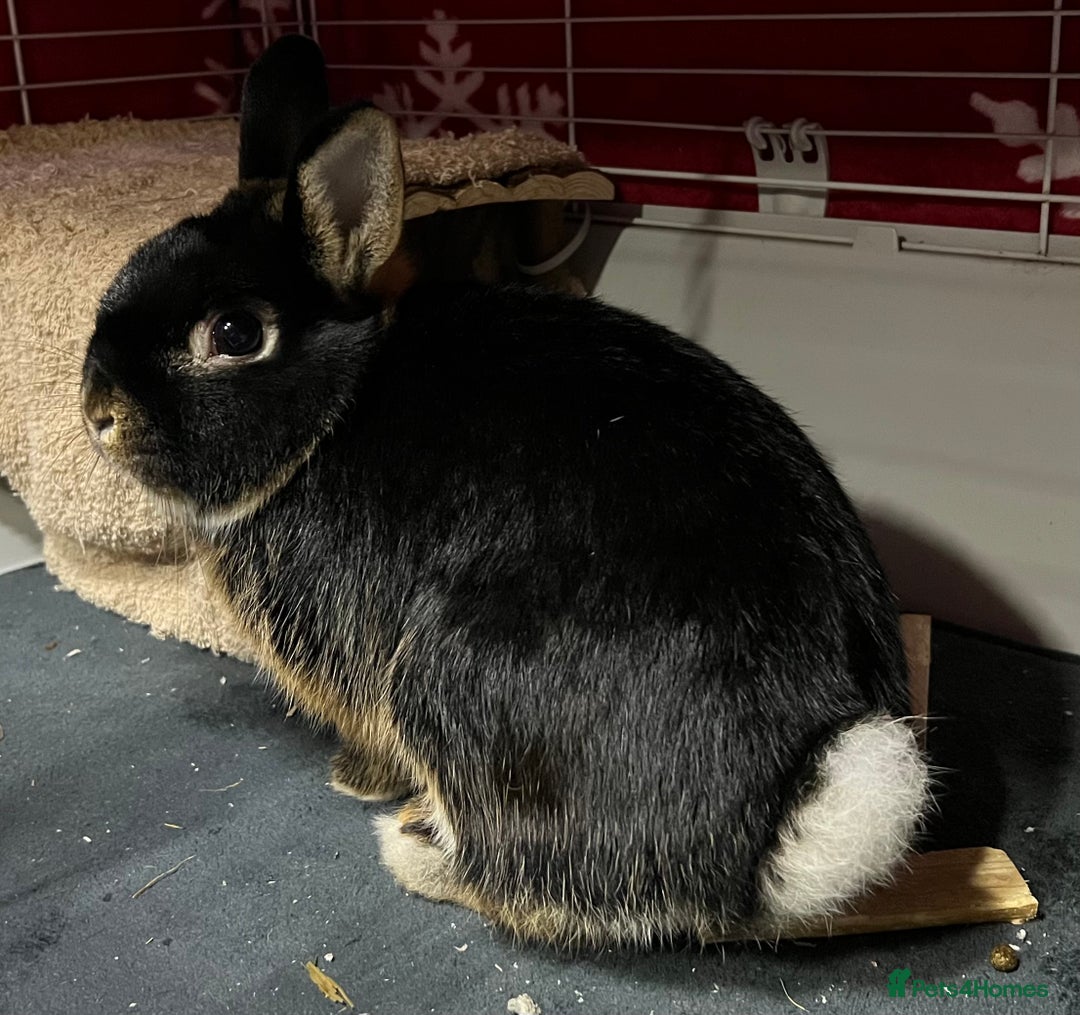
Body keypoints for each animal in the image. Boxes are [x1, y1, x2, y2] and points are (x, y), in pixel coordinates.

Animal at [80, 35, 929, 948]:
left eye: (235, 333)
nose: (98, 412)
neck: (337, 409)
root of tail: (772, 827)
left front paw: (355, 777)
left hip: (455, 683)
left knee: (525, 876)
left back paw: (414, 852)